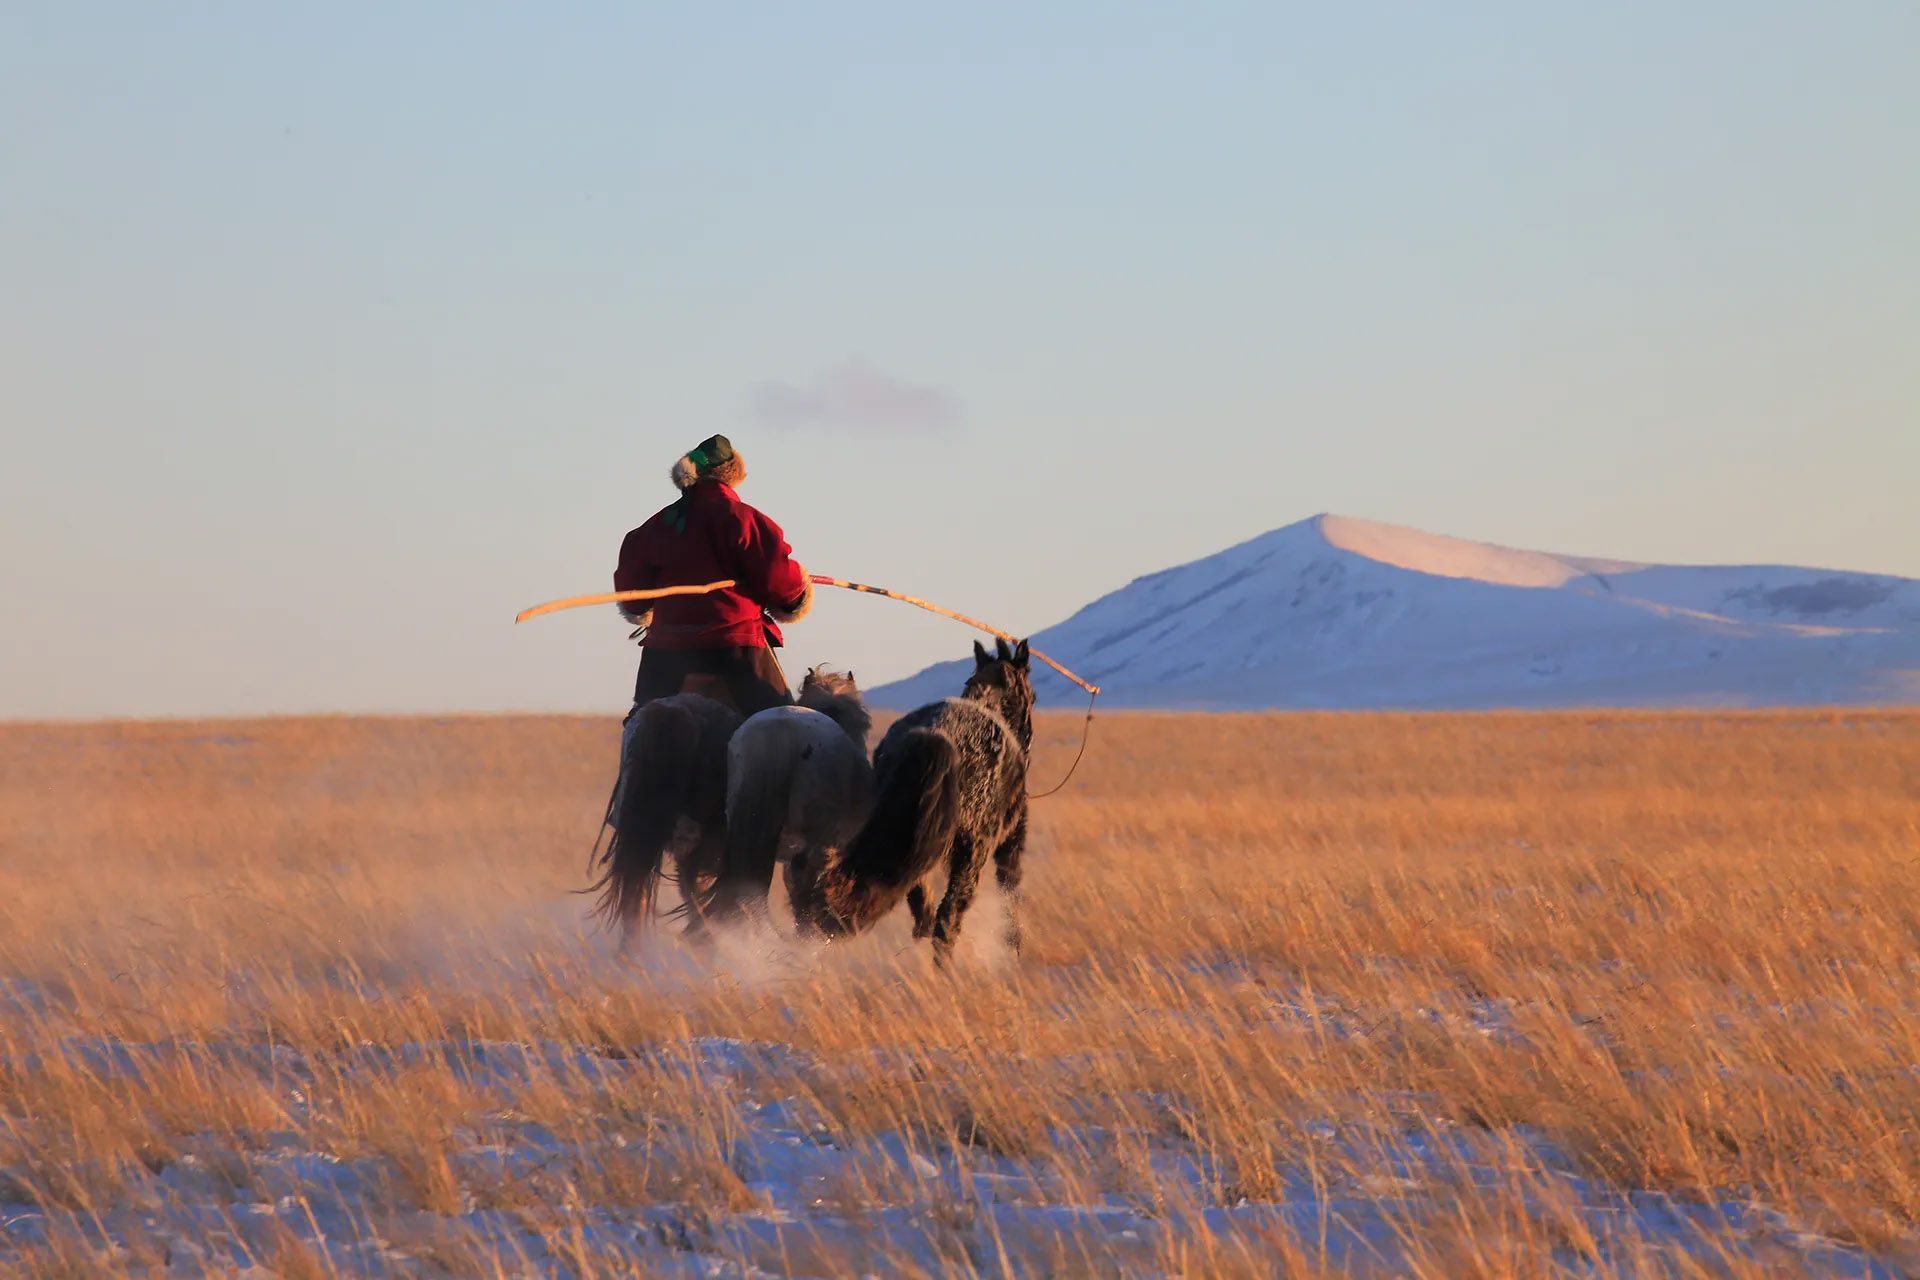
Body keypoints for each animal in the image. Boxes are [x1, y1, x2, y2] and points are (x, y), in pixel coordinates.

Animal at [789, 638, 1034, 966]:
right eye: (1032, 695)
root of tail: (935, 737)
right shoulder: (1010, 838)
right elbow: (1010, 889)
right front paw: (1014, 947)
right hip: (971, 850)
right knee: (949, 913)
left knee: (920, 905)